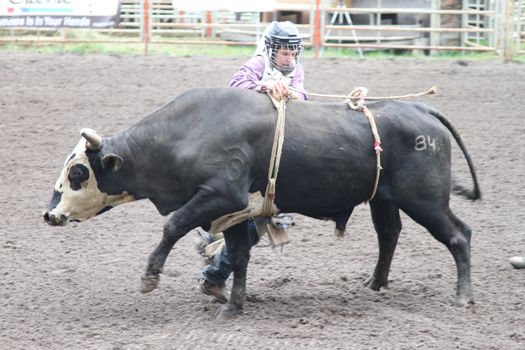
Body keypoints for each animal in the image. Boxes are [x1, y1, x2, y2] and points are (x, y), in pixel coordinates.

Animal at [44, 87, 478, 318]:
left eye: (78, 173)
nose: (49, 214)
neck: (182, 135)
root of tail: (422, 110)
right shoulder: (236, 212)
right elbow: (238, 256)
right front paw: (233, 305)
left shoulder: (221, 195)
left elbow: (173, 225)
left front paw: (150, 276)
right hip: (383, 199)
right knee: (389, 234)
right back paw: (375, 283)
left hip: (426, 200)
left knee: (459, 235)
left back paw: (463, 296)